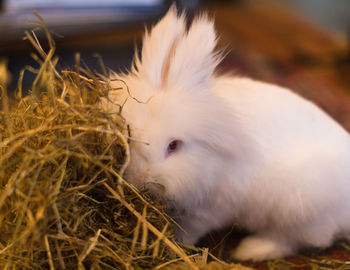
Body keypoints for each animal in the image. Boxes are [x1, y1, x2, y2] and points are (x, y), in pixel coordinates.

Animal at [104, 6, 350, 262]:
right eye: (128, 135)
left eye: (173, 146)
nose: (139, 181)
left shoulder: (210, 209)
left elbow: (190, 229)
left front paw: (179, 244)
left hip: (298, 210)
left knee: (291, 239)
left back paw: (249, 250)